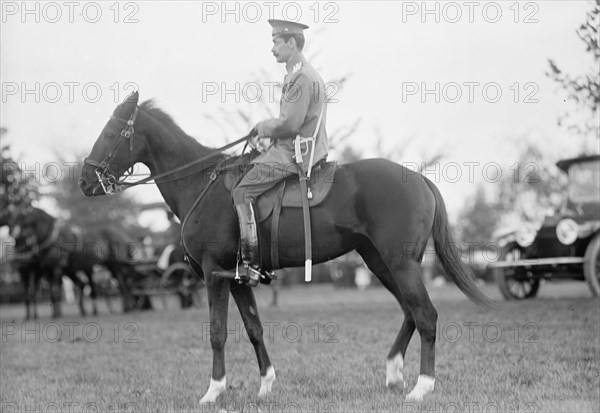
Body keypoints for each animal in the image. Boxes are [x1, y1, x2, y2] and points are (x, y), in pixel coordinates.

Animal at [79, 91, 492, 402]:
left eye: (113, 131)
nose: (84, 180)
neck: (202, 184)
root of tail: (418, 178)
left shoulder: (214, 275)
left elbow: (217, 333)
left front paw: (214, 391)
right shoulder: (237, 278)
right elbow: (254, 328)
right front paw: (266, 384)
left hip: (400, 263)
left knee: (425, 314)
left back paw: (422, 387)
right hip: (380, 262)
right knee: (409, 311)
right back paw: (393, 373)